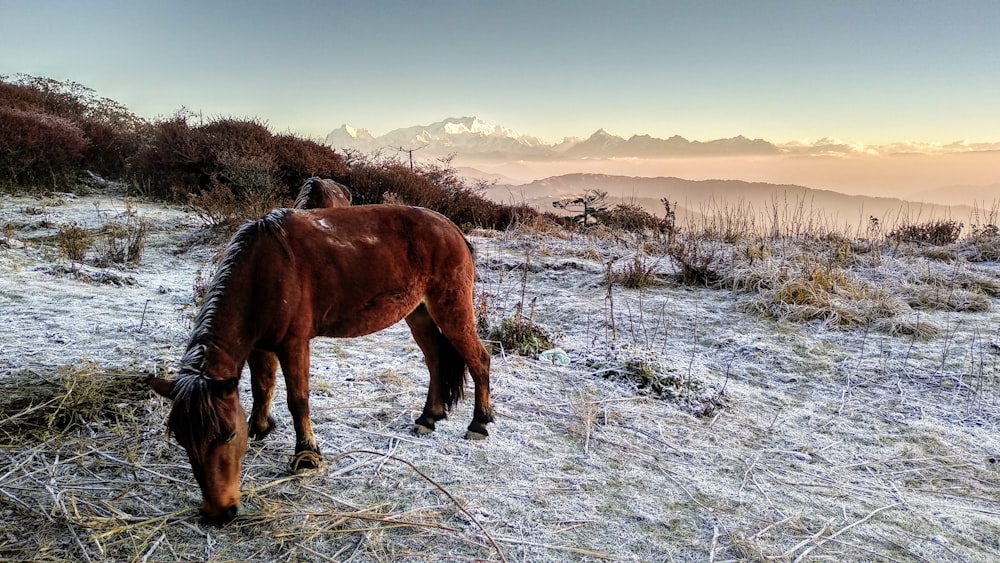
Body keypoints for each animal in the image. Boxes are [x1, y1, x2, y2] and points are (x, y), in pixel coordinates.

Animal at [147, 205, 492, 528]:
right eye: (182, 439)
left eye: (229, 435)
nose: (219, 512)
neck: (262, 269)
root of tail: (453, 230)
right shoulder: (260, 344)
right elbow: (262, 387)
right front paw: (261, 428)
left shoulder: (294, 343)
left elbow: (297, 400)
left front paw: (306, 455)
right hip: (417, 312)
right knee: (435, 360)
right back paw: (428, 417)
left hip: (451, 308)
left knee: (480, 359)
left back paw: (479, 423)